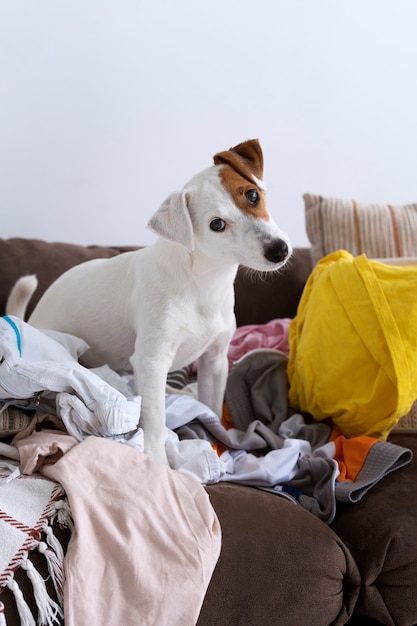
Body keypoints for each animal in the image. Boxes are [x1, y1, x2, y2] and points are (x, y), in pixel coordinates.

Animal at [8, 141, 290, 464]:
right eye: (217, 224)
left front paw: (218, 437)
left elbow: (212, 408)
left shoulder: (215, 361)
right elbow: (155, 420)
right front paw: (157, 462)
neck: (201, 283)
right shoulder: (152, 361)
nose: (279, 250)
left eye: (252, 195)